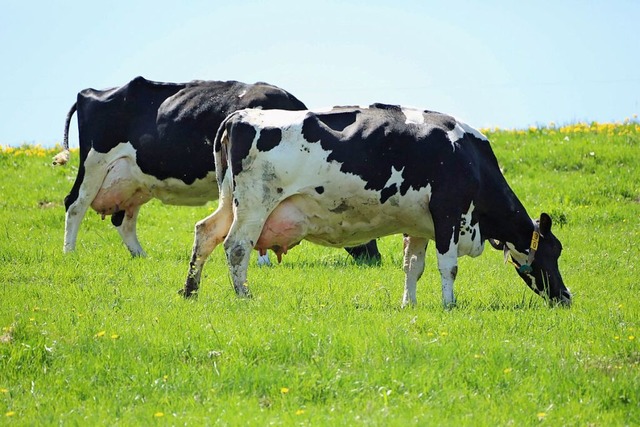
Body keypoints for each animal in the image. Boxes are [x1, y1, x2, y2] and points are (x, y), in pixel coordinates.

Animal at [55, 77, 380, 264]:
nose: (374, 258)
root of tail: (92, 92)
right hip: (94, 164)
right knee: (75, 204)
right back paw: (69, 253)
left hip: (134, 179)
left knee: (124, 219)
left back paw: (142, 257)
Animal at [182, 103, 572, 308]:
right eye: (553, 251)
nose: (566, 296)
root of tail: (241, 115)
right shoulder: (448, 213)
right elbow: (449, 267)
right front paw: (449, 305)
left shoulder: (420, 224)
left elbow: (413, 266)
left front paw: (408, 304)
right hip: (254, 203)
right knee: (236, 246)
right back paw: (244, 296)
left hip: (230, 201)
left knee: (206, 233)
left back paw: (190, 291)